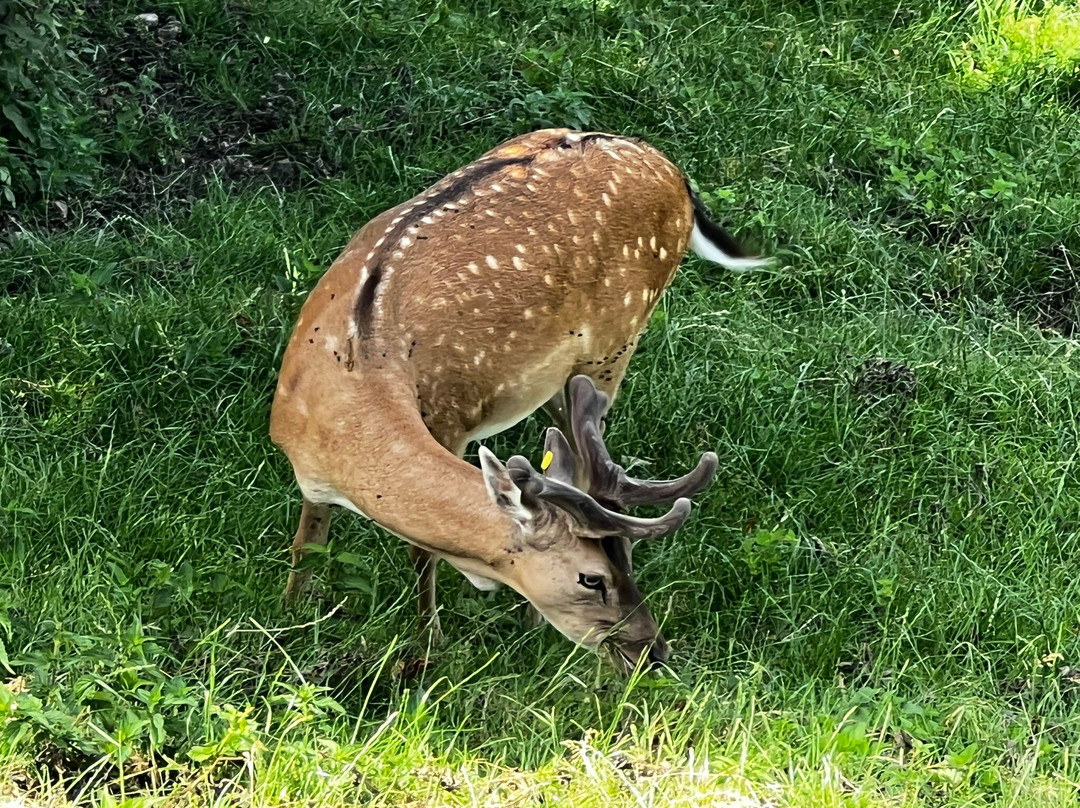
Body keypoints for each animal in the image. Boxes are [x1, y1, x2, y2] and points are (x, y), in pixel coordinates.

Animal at [274, 128, 773, 669]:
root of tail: (673, 171)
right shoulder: (309, 473)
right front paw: (291, 617)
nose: (652, 651)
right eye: (592, 577)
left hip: (617, 341)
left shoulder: (450, 426)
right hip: (563, 377)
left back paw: (530, 625)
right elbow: (307, 543)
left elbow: (421, 551)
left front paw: (427, 645)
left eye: (629, 559)